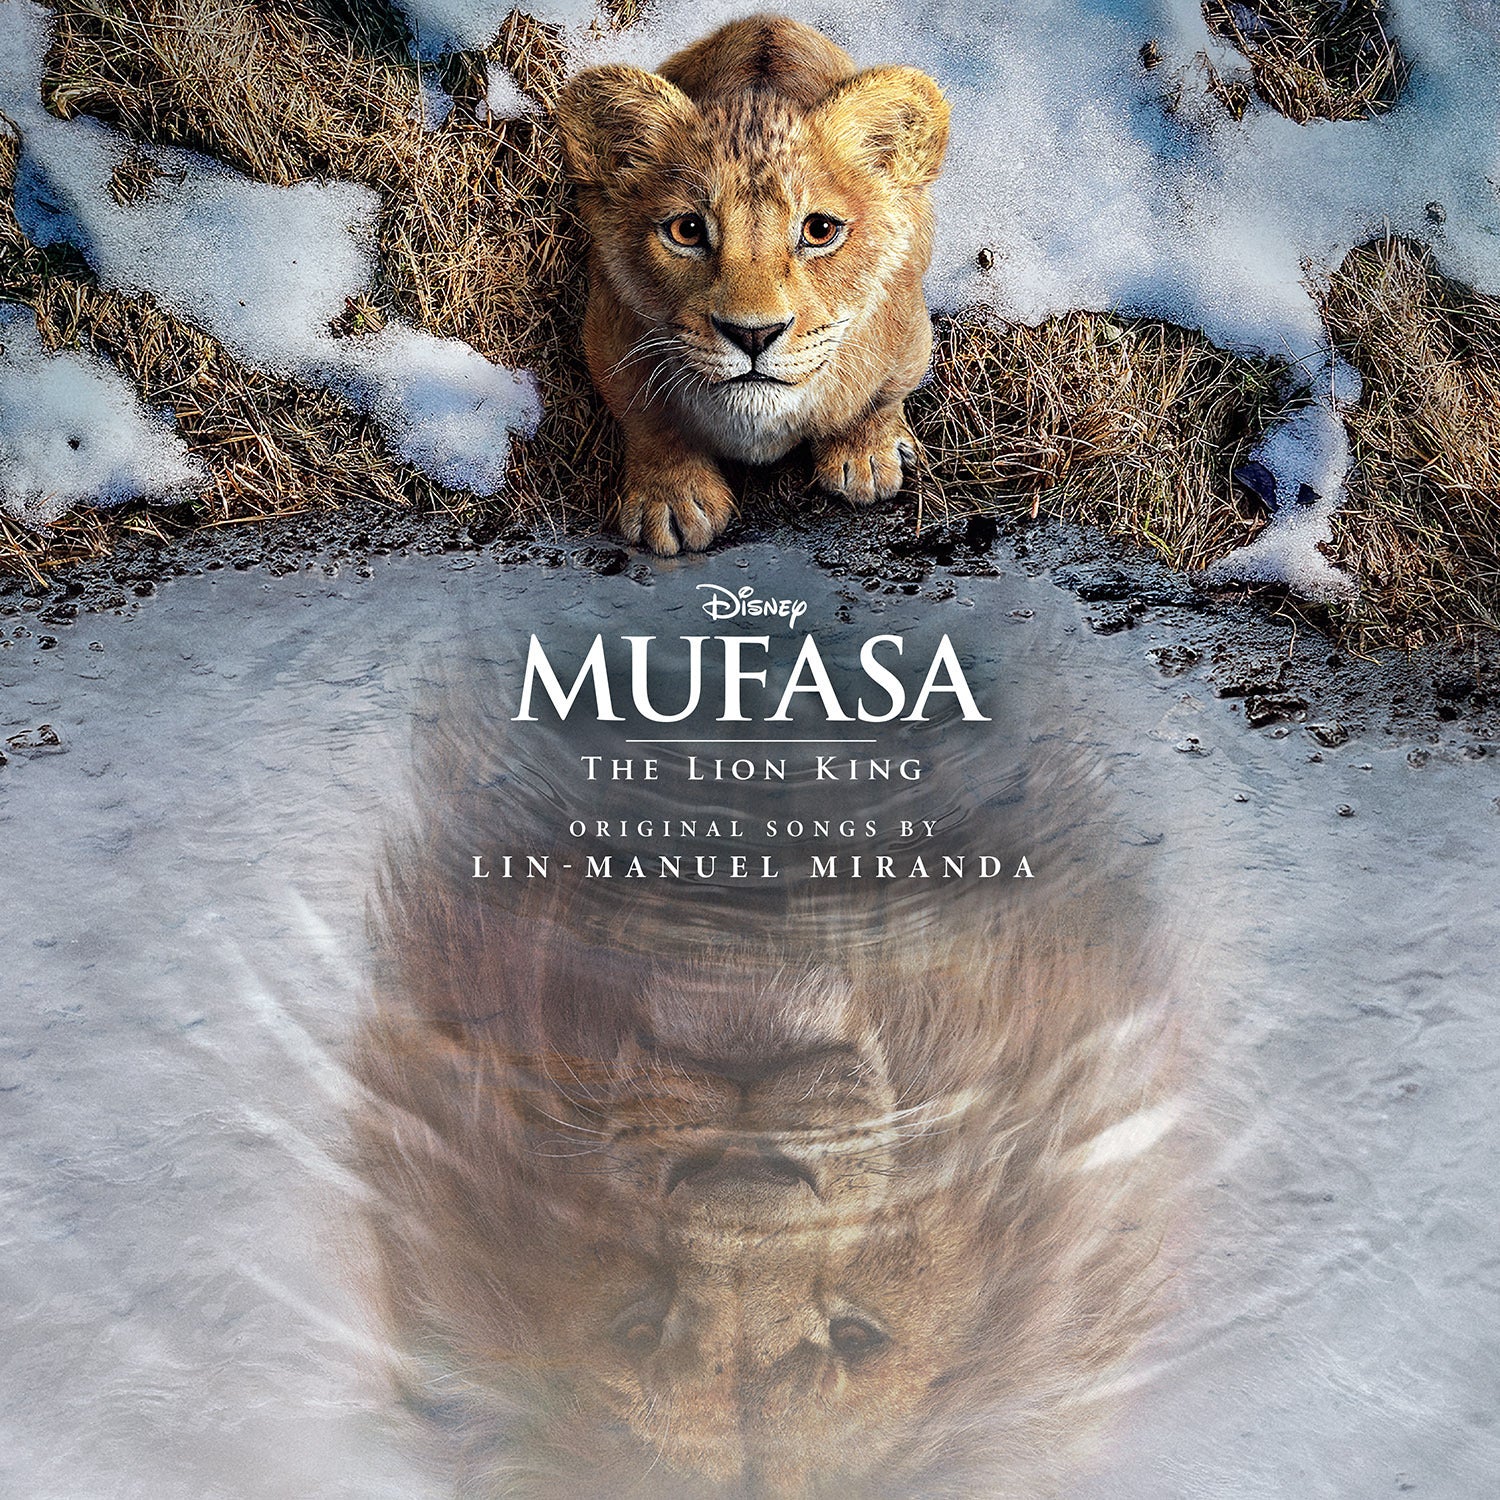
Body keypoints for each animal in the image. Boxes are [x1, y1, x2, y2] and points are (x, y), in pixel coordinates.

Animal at [554, 16, 949, 555]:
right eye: (687, 230)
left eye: (819, 230)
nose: (753, 335)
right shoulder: (607, 334)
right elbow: (648, 419)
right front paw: (670, 499)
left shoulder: (909, 331)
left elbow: (880, 396)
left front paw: (866, 454)